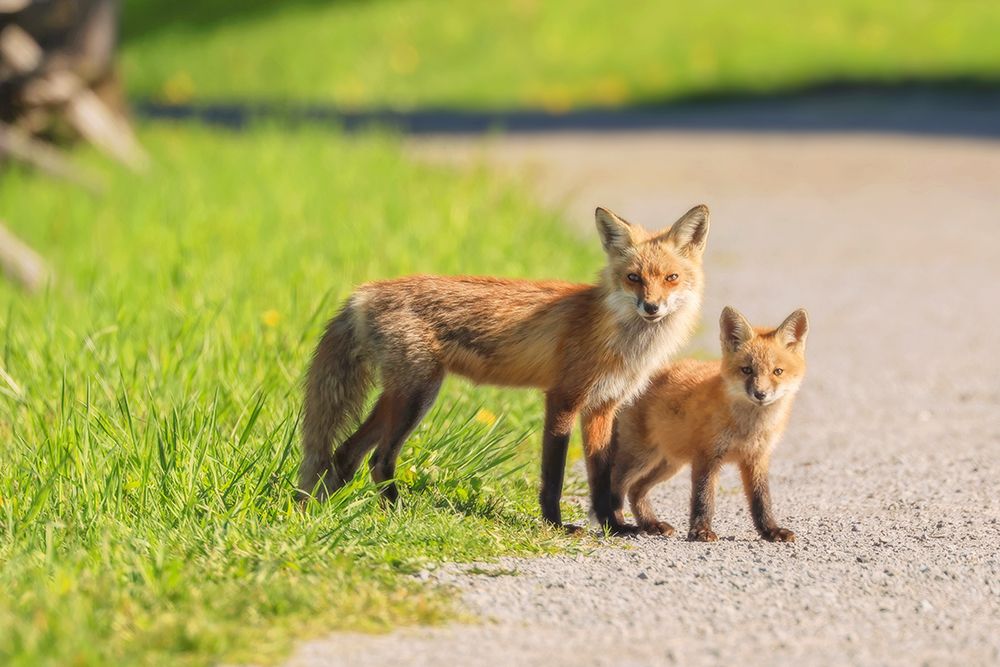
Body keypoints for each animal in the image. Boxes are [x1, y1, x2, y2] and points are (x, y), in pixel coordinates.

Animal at [300, 204, 710, 532]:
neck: (618, 335)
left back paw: (327, 513)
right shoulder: (563, 398)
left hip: (399, 395)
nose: (651, 307)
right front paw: (556, 525)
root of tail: (365, 291)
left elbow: (602, 477)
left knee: (345, 454)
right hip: (417, 396)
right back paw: (396, 512)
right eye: (633, 278)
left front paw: (615, 527)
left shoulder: (601, 407)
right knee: (379, 458)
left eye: (671, 278)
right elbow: (553, 476)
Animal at [609, 305, 809, 542]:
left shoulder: (756, 458)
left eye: (777, 371)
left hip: (668, 463)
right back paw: (615, 524)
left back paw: (651, 524)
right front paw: (701, 530)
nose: (760, 394)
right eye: (747, 370)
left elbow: (761, 500)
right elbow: (703, 497)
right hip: (641, 458)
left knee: (636, 490)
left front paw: (770, 530)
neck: (748, 428)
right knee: (615, 484)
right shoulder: (707, 455)